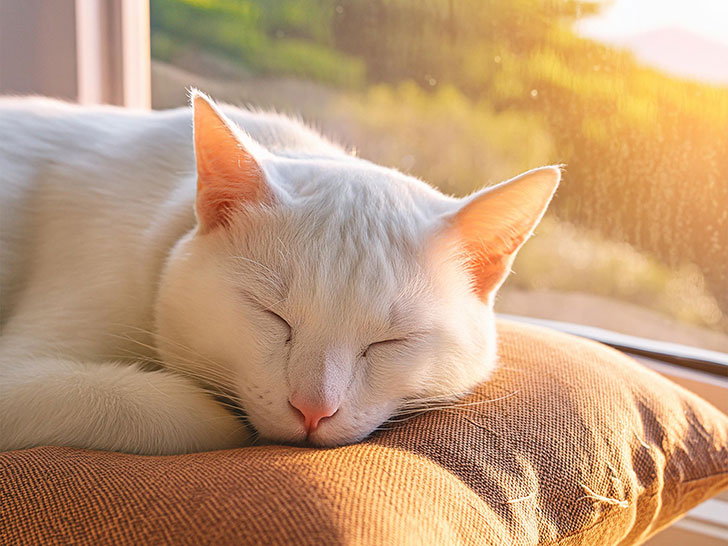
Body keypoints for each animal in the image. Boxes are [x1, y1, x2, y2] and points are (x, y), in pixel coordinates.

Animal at [0, 91, 560, 452]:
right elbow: (133, 402)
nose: (312, 409)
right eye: (271, 316)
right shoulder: (23, 368)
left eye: (389, 342)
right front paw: (222, 420)